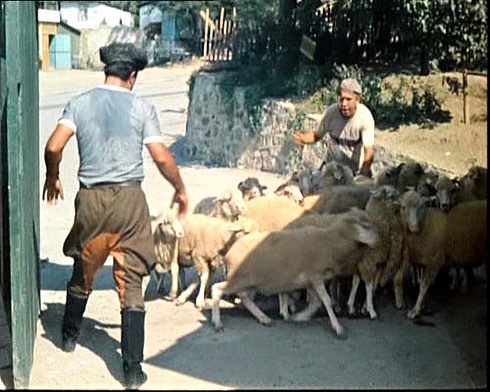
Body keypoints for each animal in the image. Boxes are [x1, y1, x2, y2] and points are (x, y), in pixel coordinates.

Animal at [209, 208, 378, 336]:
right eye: (364, 225)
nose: (377, 241)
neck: (330, 241)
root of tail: (230, 252)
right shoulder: (316, 276)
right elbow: (326, 301)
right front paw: (338, 328)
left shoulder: (311, 280)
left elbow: (316, 303)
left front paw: (299, 317)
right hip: (239, 278)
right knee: (217, 289)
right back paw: (217, 323)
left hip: (249, 282)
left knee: (244, 297)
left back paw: (264, 319)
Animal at [398, 188, 486, 320]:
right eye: (403, 207)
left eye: (421, 206)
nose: (414, 227)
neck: (426, 224)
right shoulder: (424, 261)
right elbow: (421, 284)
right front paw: (421, 305)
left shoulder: (434, 262)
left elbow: (424, 286)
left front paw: (415, 310)